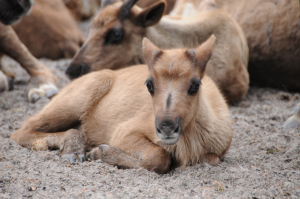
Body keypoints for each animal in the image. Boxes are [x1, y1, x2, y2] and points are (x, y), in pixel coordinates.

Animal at [11, 35, 232, 173]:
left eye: (195, 84)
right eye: (149, 84)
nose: (166, 127)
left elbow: (210, 159)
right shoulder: (125, 132)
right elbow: (158, 157)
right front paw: (101, 152)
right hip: (73, 102)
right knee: (22, 130)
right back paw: (74, 152)